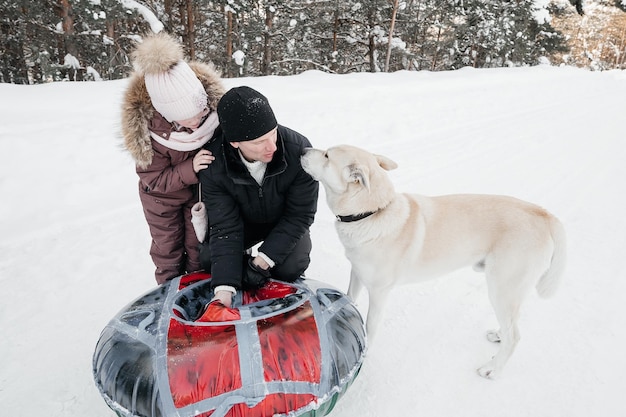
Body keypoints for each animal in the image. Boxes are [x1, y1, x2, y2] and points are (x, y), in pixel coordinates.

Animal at [298, 145, 564, 378]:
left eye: (327, 155)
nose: (302, 150)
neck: (373, 212)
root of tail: (544, 214)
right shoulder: (357, 273)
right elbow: (349, 299)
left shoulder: (379, 292)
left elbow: (370, 326)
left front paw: (366, 352)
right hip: (510, 293)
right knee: (512, 325)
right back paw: (498, 335)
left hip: (501, 289)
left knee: (515, 336)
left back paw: (493, 369)